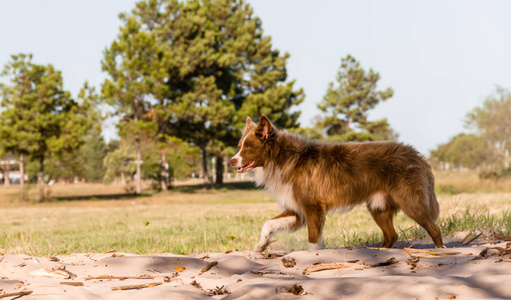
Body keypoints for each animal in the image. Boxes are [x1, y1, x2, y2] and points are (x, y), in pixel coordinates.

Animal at [232, 115, 444, 251]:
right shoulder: (298, 210)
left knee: (433, 228)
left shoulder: (312, 208)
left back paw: (440, 251)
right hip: (379, 206)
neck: (282, 158)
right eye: (239, 146)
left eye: (248, 147)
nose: (232, 161)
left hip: (410, 202)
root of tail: (416, 154)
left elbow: (313, 240)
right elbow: (268, 224)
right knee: (391, 235)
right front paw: (260, 246)